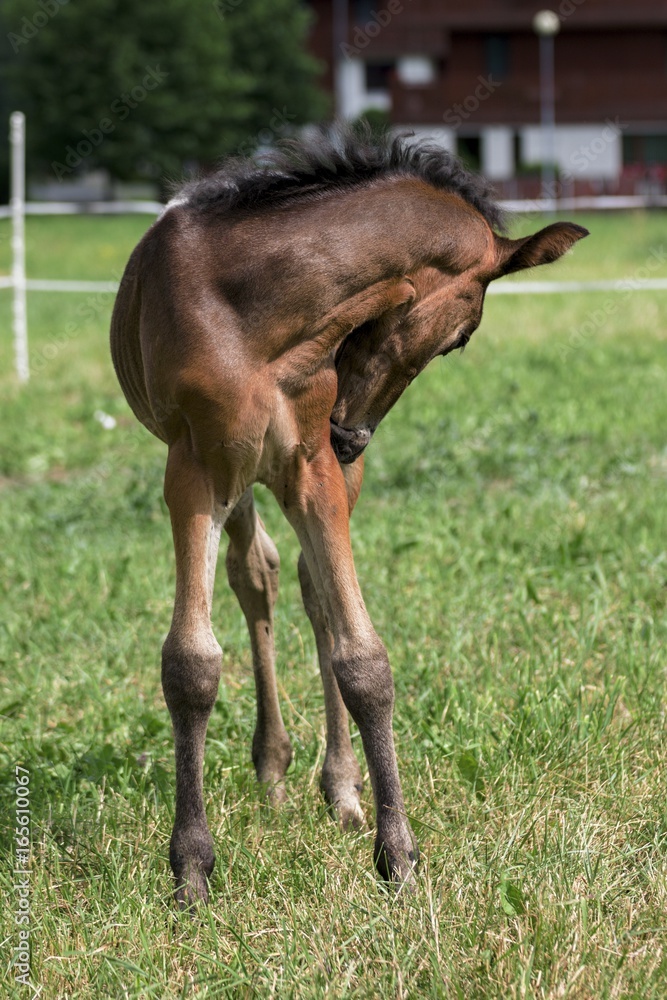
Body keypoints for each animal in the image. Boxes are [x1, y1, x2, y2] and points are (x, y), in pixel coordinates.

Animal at [110, 123, 588, 907]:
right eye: (463, 336)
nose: (350, 433)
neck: (256, 319)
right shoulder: (194, 470)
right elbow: (190, 665)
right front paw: (191, 866)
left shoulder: (312, 469)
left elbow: (363, 658)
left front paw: (397, 853)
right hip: (240, 479)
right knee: (255, 575)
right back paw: (272, 767)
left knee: (309, 590)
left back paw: (338, 788)